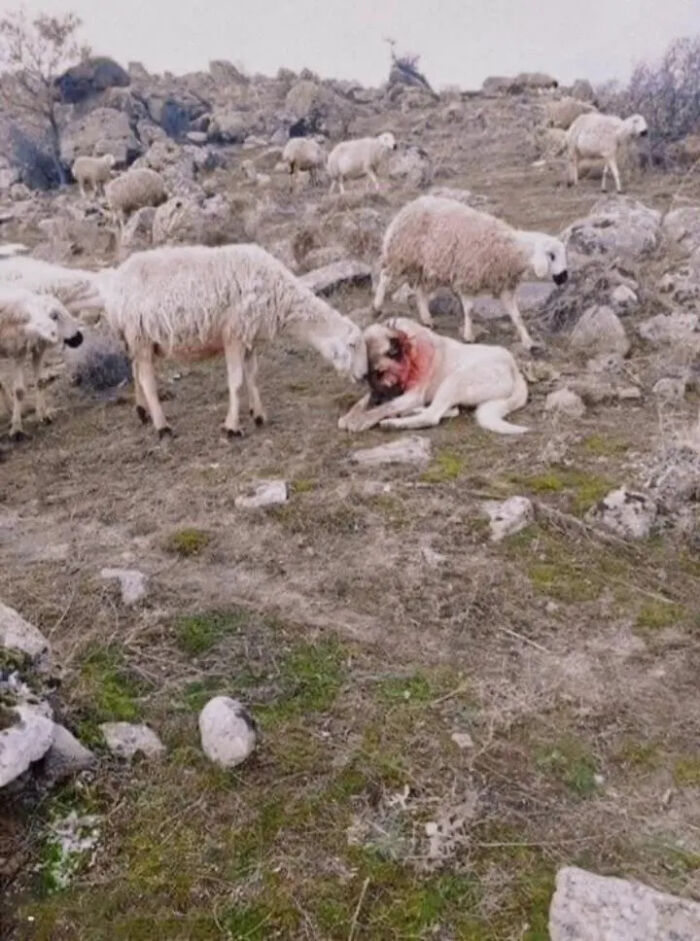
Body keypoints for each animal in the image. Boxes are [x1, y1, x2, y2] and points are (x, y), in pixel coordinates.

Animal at [0, 288, 83, 438]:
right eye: (54, 316)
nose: (79, 338)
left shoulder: (29, 349)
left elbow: (36, 384)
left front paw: (42, 416)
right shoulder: (18, 350)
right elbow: (18, 390)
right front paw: (17, 429)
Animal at [100, 239, 370, 436]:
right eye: (353, 345)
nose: (365, 375)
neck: (280, 294)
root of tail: (115, 286)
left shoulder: (249, 339)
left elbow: (252, 377)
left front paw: (258, 415)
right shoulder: (234, 335)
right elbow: (237, 381)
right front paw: (232, 427)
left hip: (135, 340)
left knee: (136, 371)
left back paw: (142, 412)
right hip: (140, 336)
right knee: (146, 380)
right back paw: (162, 426)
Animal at [340, 316, 532, 434]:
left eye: (380, 373)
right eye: (367, 376)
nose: (377, 399)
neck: (411, 352)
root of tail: (514, 367)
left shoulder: (411, 396)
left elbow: (385, 408)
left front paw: (362, 420)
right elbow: (361, 403)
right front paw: (350, 415)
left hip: (454, 380)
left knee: (432, 416)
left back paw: (393, 423)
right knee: (450, 410)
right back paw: (408, 413)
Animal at [372, 196, 568, 350]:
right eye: (551, 256)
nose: (564, 277)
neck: (509, 250)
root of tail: (410, 205)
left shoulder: (505, 286)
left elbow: (516, 316)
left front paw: (528, 341)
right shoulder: (467, 278)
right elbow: (470, 310)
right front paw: (468, 335)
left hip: (428, 267)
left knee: (420, 291)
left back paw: (427, 319)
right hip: (401, 254)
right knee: (385, 276)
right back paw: (377, 305)